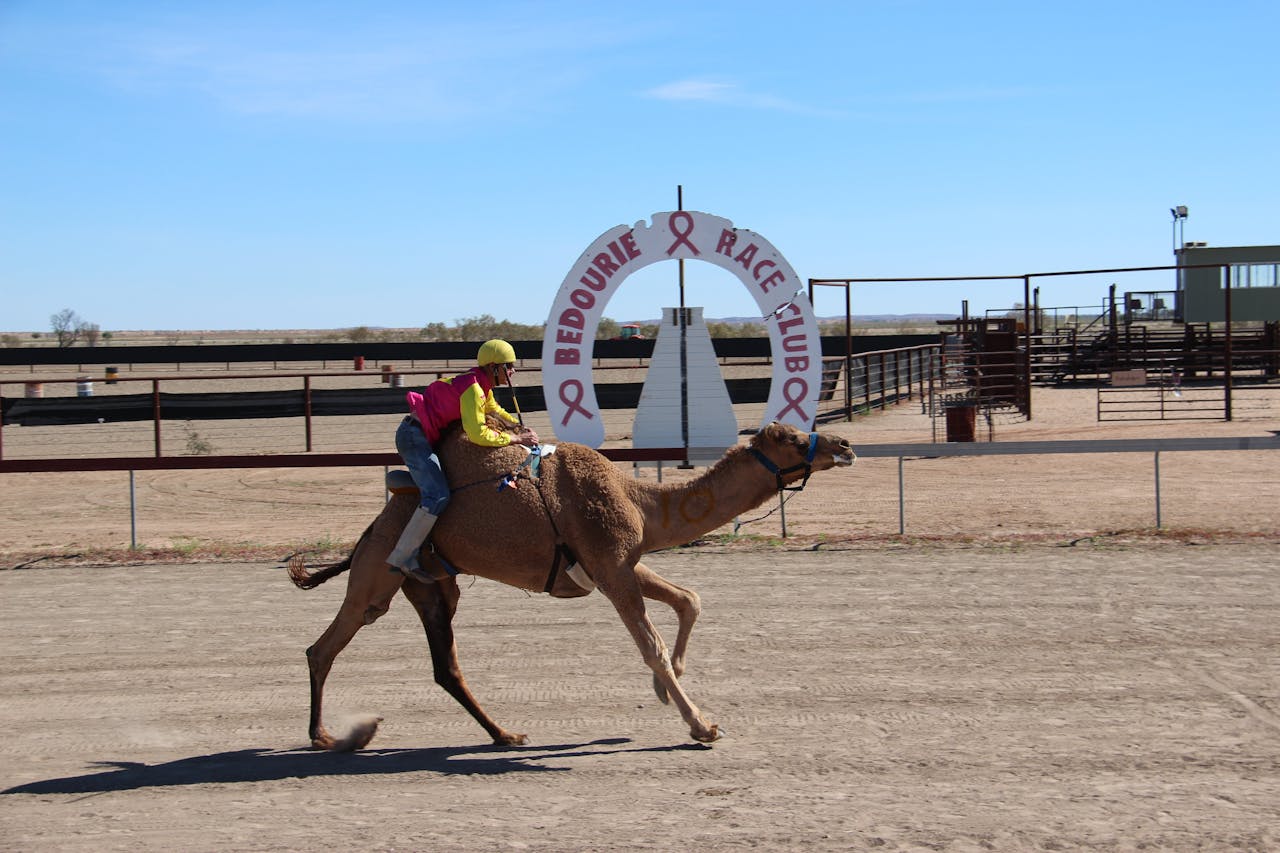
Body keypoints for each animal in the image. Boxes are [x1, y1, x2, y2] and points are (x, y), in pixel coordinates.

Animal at [288, 422, 849, 747]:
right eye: (793, 439)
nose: (844, 445)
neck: (639, 499)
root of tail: (372, 527)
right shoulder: (611, 565)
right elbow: (652, 647)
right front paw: (702, 725)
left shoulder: (619, 564)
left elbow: (689, 601)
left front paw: (668, 690)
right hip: (379, 574)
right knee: (327, 646)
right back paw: (329, 737)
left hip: (434, 587)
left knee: (443, 666)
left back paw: (505, 734)